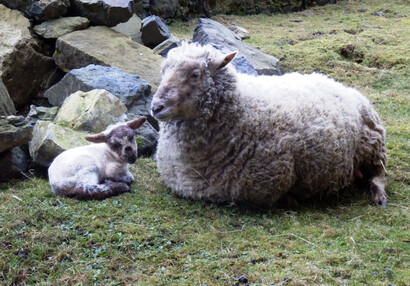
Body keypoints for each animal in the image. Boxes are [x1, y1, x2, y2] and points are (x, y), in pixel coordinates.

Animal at [151, 42, 388, 208]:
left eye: (195, 74)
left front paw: (292, 200)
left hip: (373, 145)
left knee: (379, 175)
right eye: (163, 72)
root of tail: (340, 84)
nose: (156, 107)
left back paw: (379, 196)